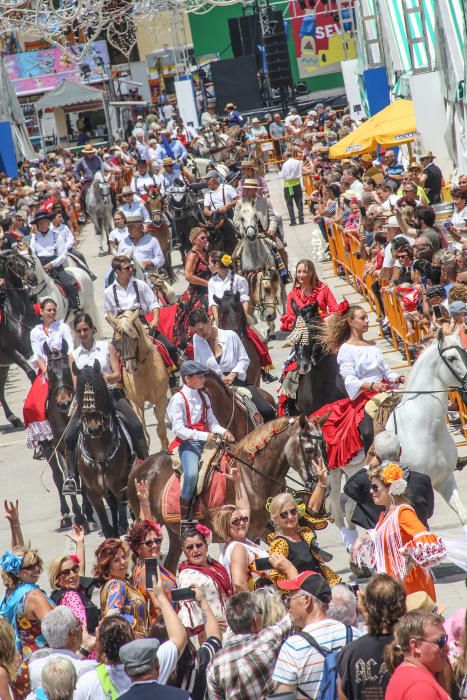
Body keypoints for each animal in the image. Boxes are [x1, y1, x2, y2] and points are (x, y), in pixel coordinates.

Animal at [73, 360, 132, 536]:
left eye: (98, 389)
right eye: (78, 391)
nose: (94, 429)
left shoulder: (120, 483)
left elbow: (123, 515)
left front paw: (123, 526)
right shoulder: (93, 492)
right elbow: (106, 527)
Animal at [106, 310, 170, 448]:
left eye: (135, 338)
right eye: (117, 341)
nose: (131, 368)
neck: (144, 371)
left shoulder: (160, 399)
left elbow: (161, 430)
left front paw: (166, 448)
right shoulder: (136, 402)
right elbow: (143, 431)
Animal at [127, 412, 326, 572]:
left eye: (323, 446)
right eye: (309, 449)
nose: (320, 482)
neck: (251, 475)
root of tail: (138, 469)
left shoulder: (262, 528)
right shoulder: (247, 531)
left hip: (174, 532)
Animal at [328, 328, 467, 548]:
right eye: (452, 357)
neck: (427, 430)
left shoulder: (445, 479)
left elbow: (462, 514)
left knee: (349, 507)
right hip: (333, 475)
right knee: (338, 510)